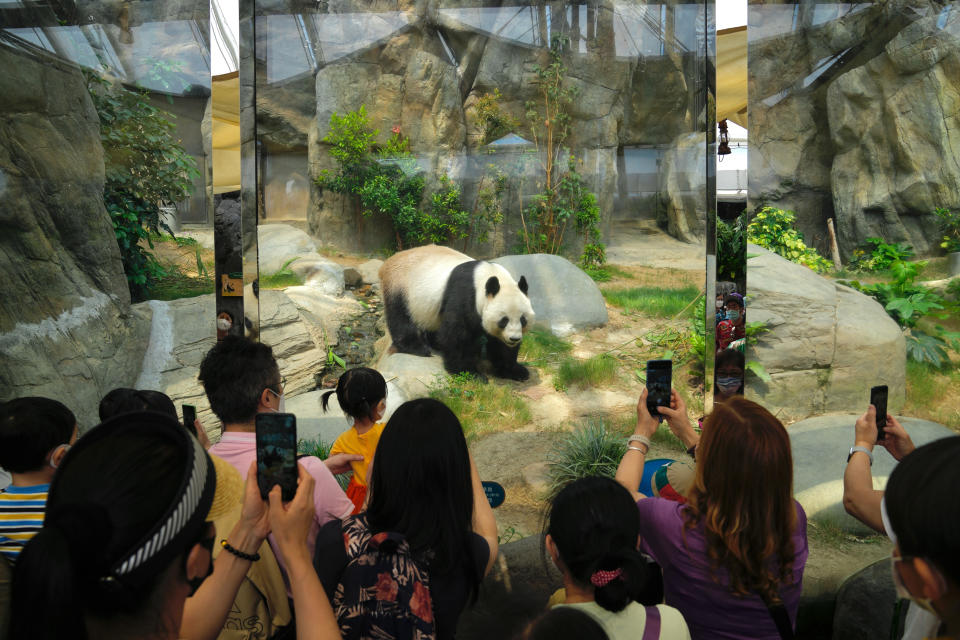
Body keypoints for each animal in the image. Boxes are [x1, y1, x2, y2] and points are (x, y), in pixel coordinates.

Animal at [380, 245, 532, 380]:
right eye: (503, 320)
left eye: (523, 320)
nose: (514, 339)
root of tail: (388, 262)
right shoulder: (464, 294)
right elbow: (456, 333)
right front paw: (469, 372)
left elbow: (500, 344)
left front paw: (515, 371)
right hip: (400, 286)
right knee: (400, 316)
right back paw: (417, 348)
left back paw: (434, 343)